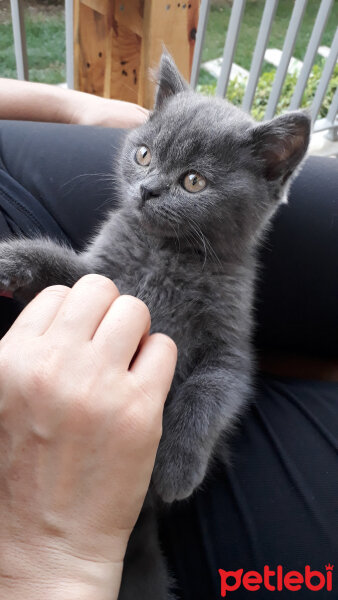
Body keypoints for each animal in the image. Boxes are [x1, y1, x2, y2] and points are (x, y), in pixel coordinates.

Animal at [0, 54, 308, 596]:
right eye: (143, 155)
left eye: (194, 181)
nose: (146, 189)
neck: (165, 257)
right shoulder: (102, 277)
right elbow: (61, 266)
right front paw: (11, 258)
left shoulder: (232, 348)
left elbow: (211, 389)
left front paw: (176, 467)